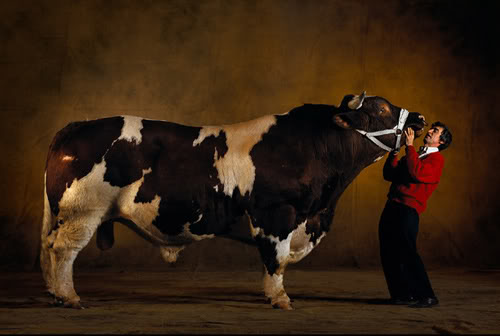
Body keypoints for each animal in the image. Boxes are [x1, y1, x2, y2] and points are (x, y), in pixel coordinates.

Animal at [41, 91, 428, 310]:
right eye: (381, 109)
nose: (420, 117)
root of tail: (77, 126)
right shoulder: (277, 214)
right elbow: (276, 260)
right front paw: (279, 299)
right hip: (83, 211)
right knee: (64, 251)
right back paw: (69, 297)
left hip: (63, 213)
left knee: (48, 248)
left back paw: (53, 293)